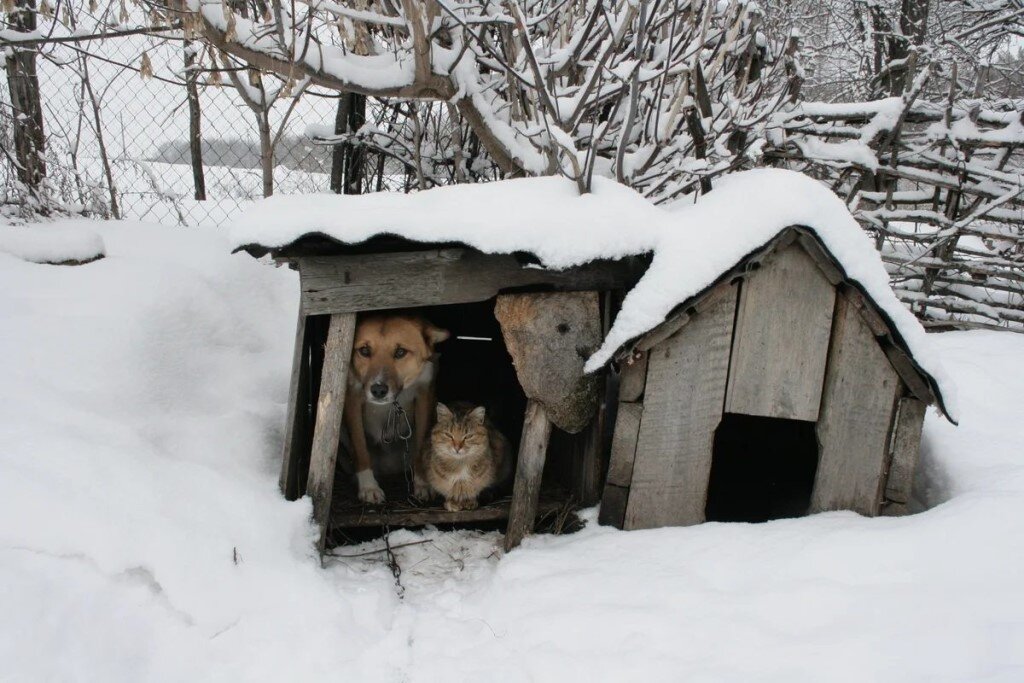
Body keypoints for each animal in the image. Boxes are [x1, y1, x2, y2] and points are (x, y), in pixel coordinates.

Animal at [344, 315, 448, 501]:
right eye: (364, 350)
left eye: (400, 352)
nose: (378, 390)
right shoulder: (352, 399)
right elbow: (360, 448)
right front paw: (368, 487)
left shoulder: (424, 397)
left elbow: (421, 446)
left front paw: (423, 484)